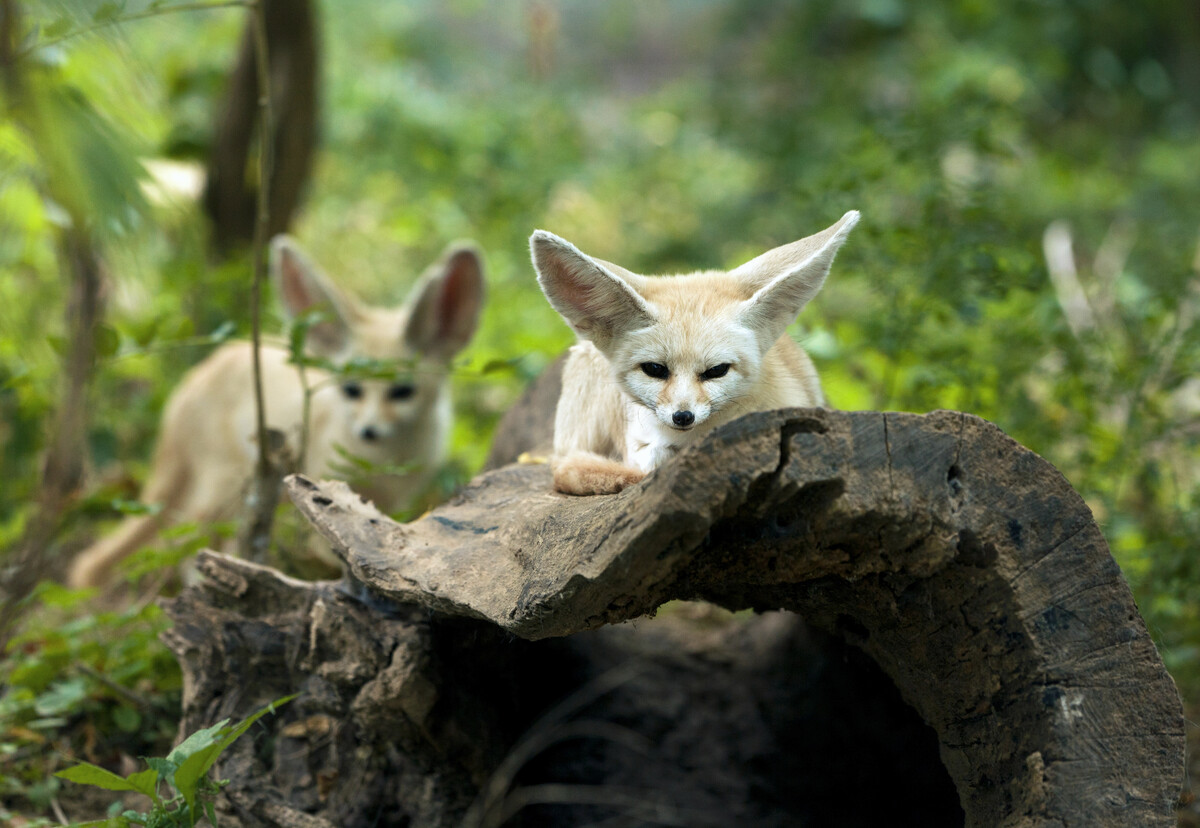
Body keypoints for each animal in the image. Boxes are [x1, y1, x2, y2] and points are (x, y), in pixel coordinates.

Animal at [68, 238, 482, 588]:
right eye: (352, 390)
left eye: (402, 392)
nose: (369, 430)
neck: (387, 460)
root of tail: (189, 385)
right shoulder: (325, 490)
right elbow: (333, 553)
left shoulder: (388, 504)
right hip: (226, 485)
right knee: (192, 540)